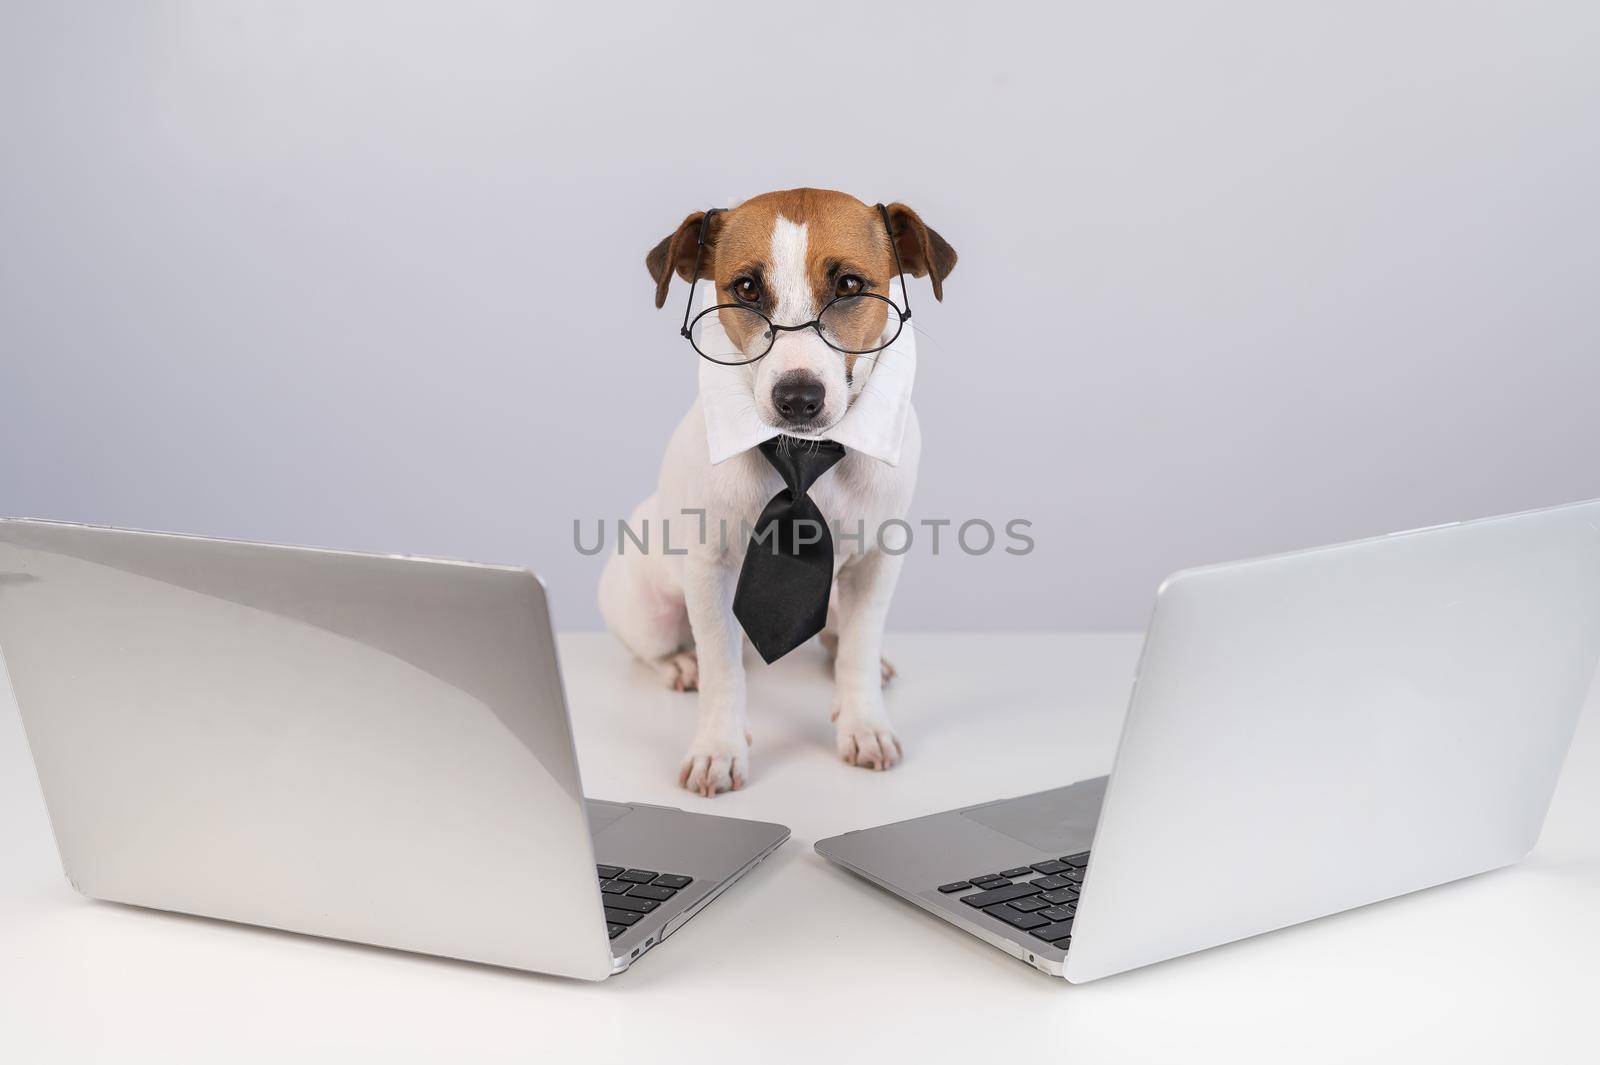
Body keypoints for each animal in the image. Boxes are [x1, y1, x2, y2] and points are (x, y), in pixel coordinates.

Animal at [598, 188, 947, 786]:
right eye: (745, 288)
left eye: (849, 285)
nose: (798, 398)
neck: (805, 454)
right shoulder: (709, 570)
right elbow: (722, 667)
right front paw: (718, 746)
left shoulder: (877, 563)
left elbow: (859, 648)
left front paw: (864, 723)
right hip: (646, 611)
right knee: (662, 649)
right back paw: (680, 663)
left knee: (840, 634)